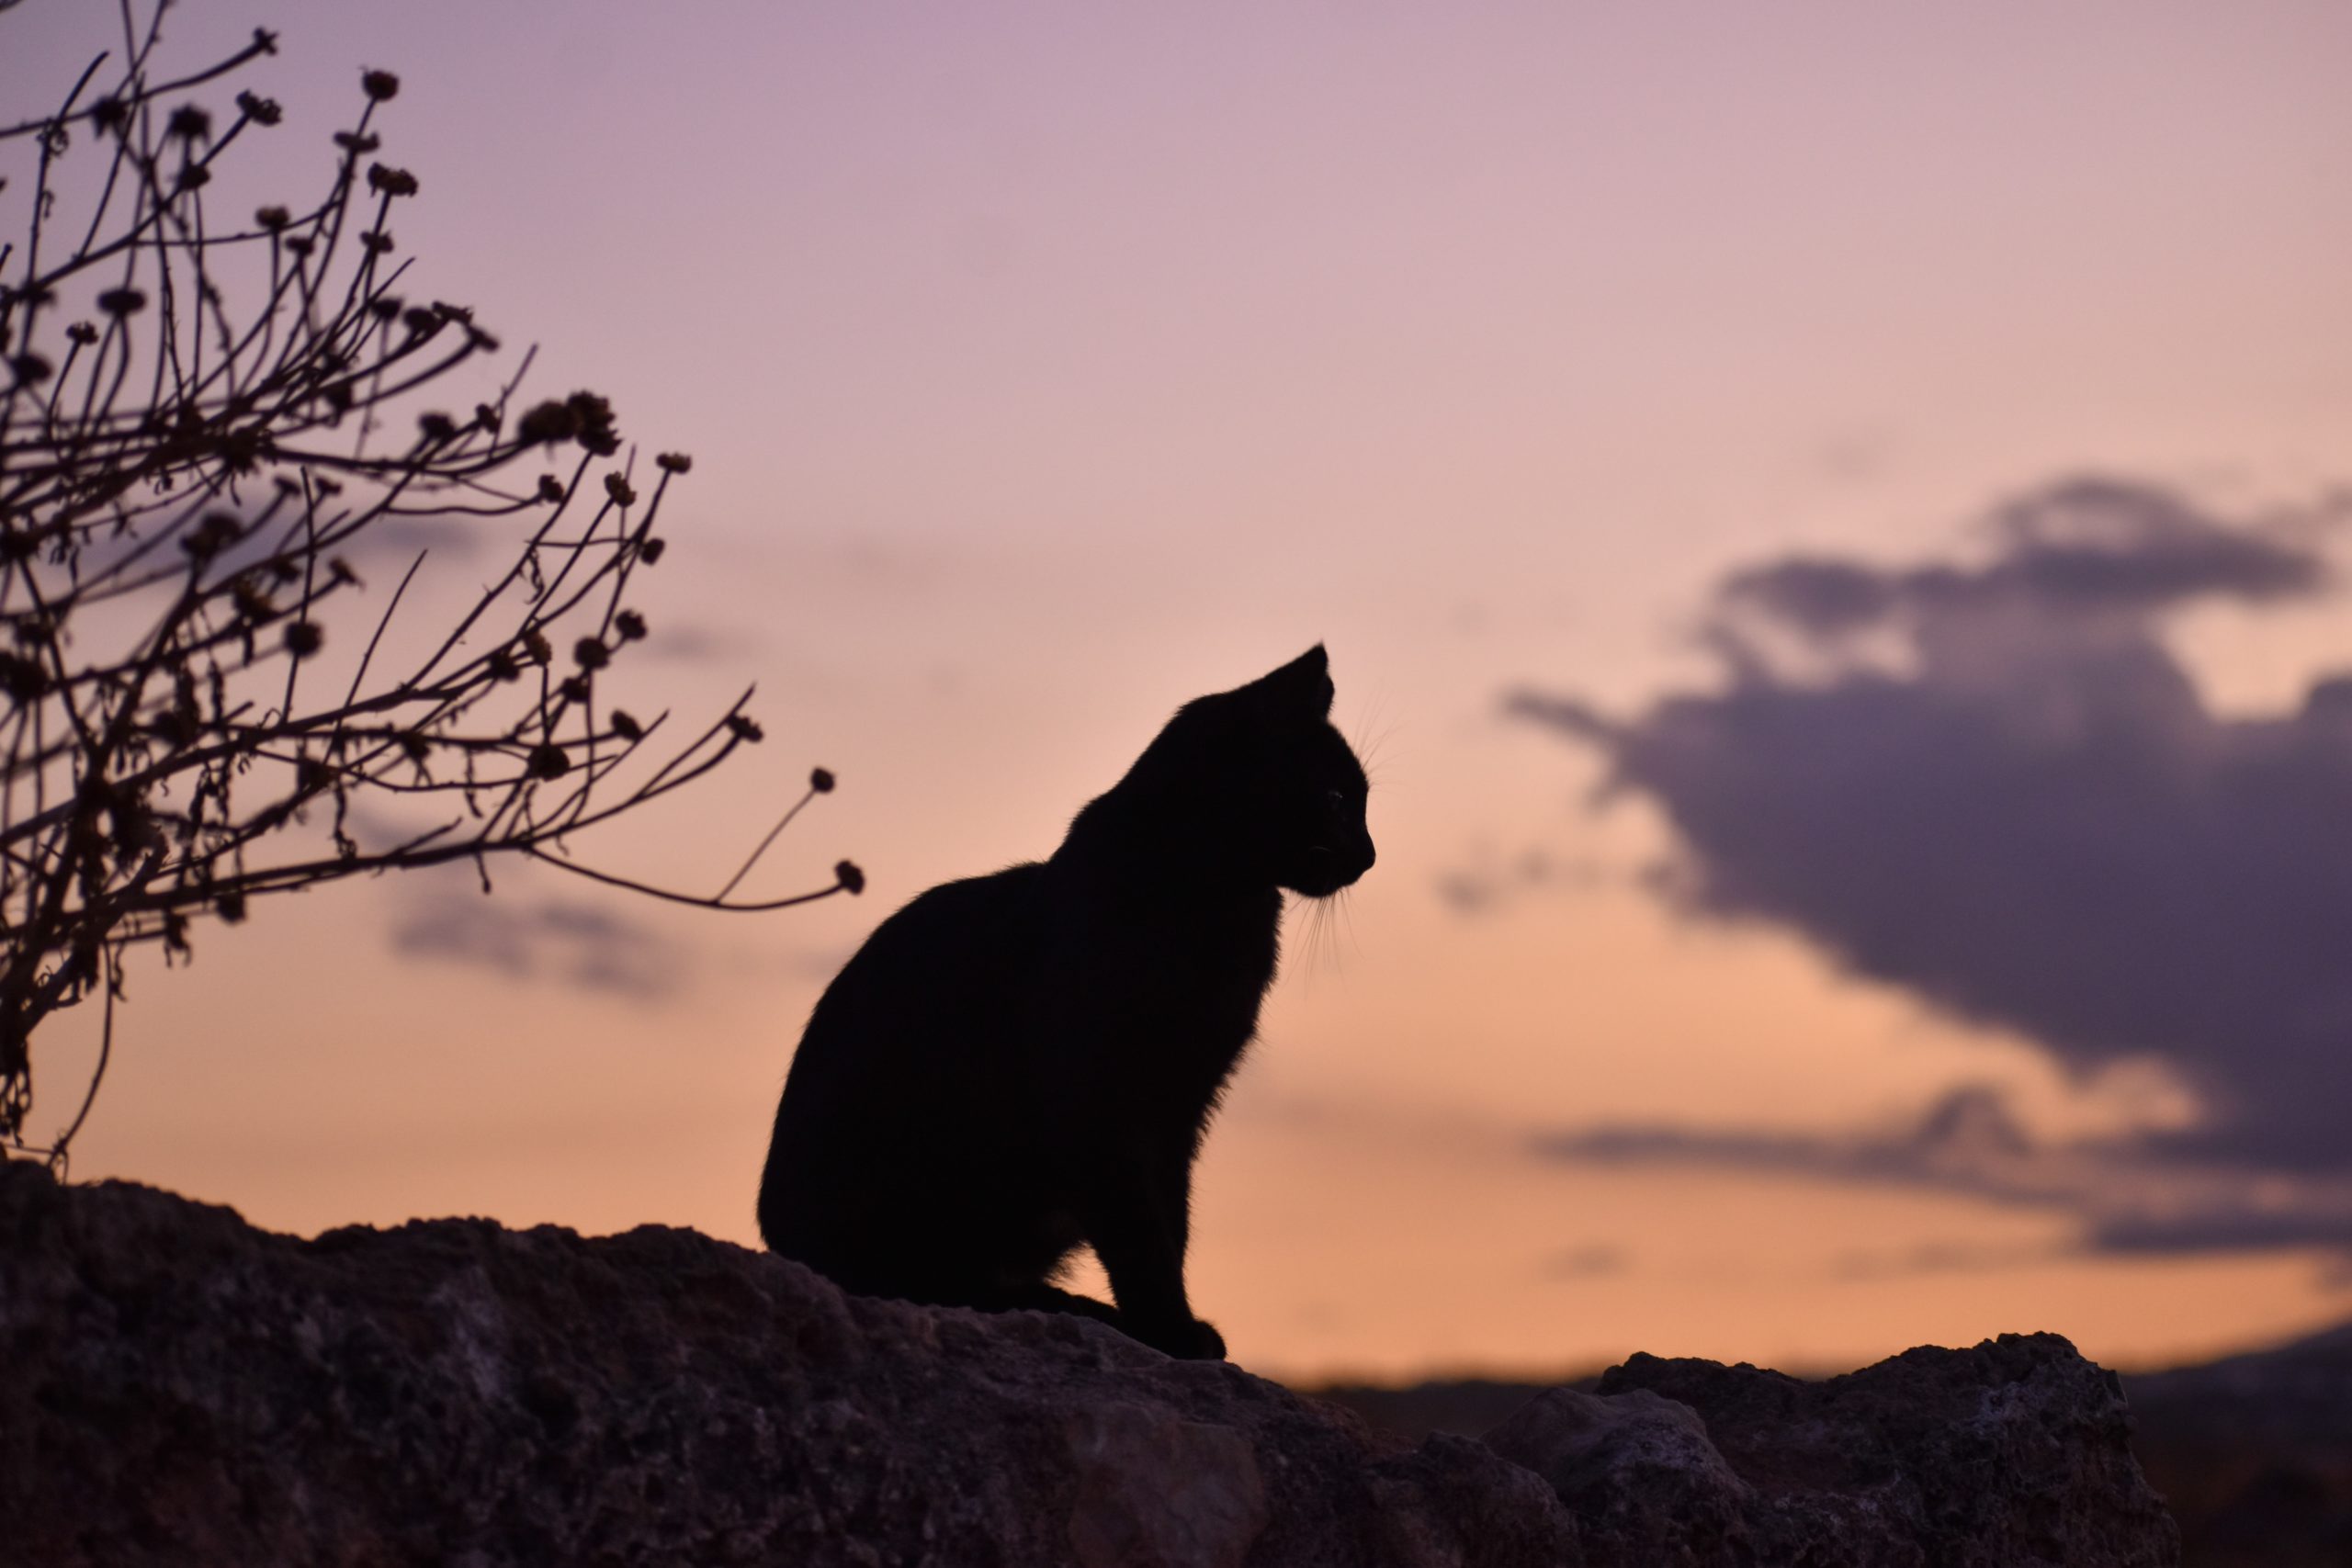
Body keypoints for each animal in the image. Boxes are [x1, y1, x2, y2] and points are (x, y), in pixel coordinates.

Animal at [762, 649, 1374, 1363]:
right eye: (1336, 799)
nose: (1369, 855)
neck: (1218, 905)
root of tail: (778, 1238)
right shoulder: (1097, 1100)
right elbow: (1140, 1229)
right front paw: (1169, 1330)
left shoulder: (1181, 1106)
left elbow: (1172, 1219)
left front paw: (1169, 1326)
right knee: (928, 1280)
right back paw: (1065, 1304)